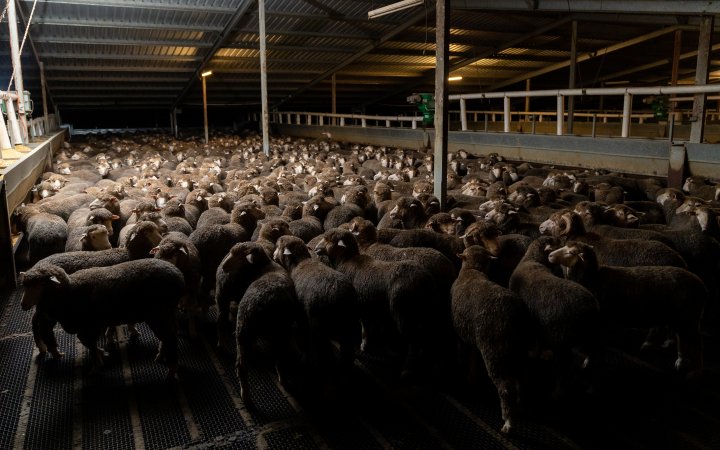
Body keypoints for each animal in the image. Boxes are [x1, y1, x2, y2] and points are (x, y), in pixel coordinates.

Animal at [214, 243, 304, 408]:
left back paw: (246, 397)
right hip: (276, 332)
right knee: (279, 358)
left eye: (239, 257)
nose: (223, 267)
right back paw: (283, 379)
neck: (266, 266)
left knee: (241, 365)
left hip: (239, 328)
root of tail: (251, 308)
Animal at [316, 229, 442, 380]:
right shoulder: (370, 306)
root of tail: (425, 280)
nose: (316, 248)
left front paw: (364, 345)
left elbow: (364, 326)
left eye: (328, 239)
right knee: (429, 337)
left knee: (413, 340)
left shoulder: (360, 305)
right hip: (427, 311)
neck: (345, 261)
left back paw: (407, 369)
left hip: (404, 313)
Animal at [452, 244, 532, 434]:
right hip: (519, 347)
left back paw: (509, 422)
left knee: (505, 387)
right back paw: (520, 407)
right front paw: (471, 377)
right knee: (522, 378)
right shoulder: (472, 336)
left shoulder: (460, 334)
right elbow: (473, 358)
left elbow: (462, 353)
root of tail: (513, 314)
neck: (472, 270)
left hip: (494, 348)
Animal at [548, 243, 704, 372]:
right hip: (672, 314)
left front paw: (589, 361)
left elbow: (594, 343)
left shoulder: (598, 320)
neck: (593, 278)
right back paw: (661, 343)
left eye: (571, 252)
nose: (550, 255)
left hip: (685, 316)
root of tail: (700, 285)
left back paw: (682, 362)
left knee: (687, 340)